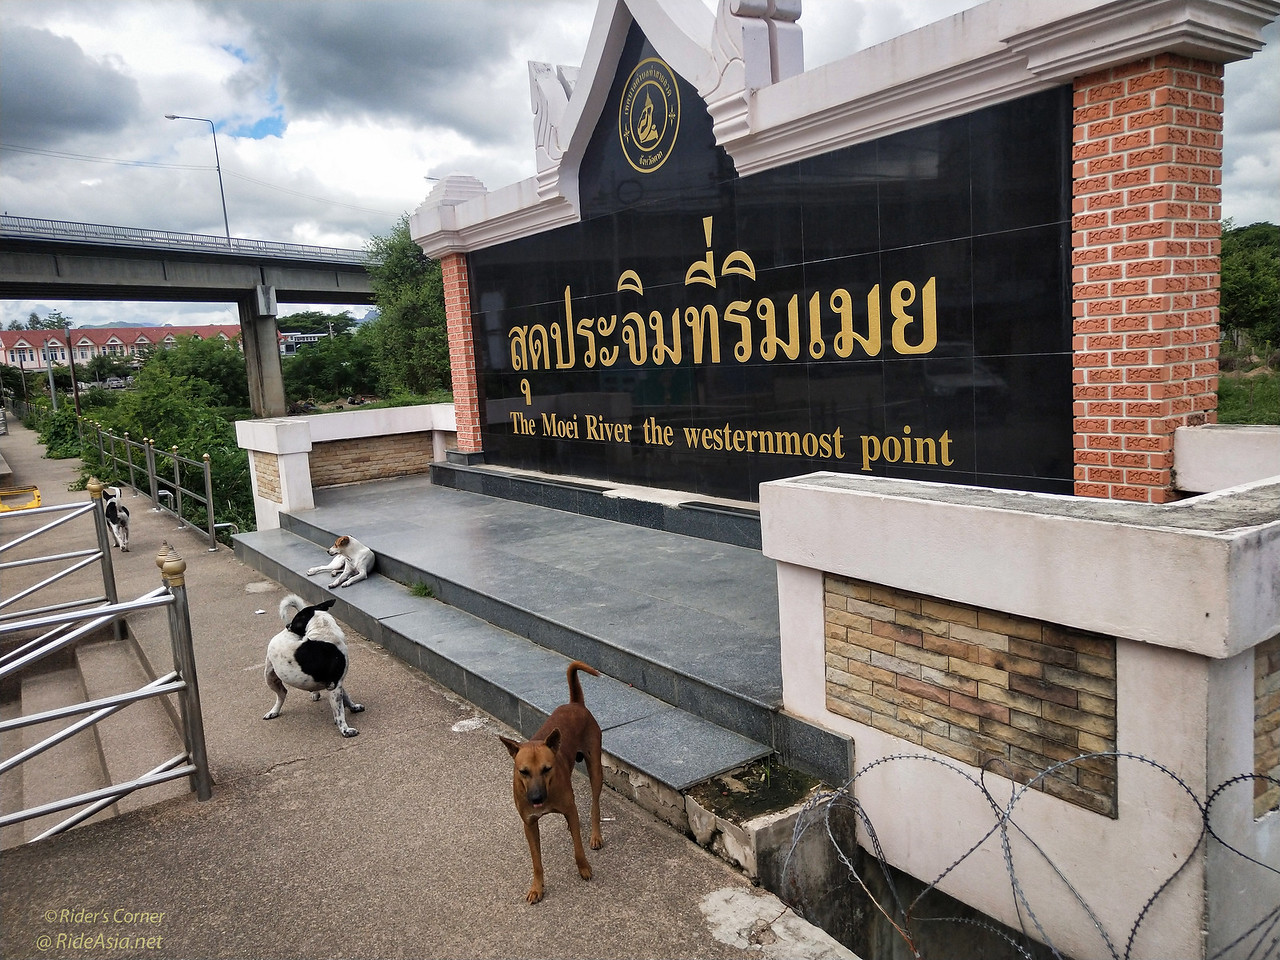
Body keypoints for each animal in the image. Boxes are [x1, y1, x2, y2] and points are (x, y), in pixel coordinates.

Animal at [262, 594, 364, 737]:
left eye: (294, 621)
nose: (287, 625)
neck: (323, 631)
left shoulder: (336, 683)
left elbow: (346, 696)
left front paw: (353, 707)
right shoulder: (335, 684)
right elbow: (339, 712)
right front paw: (345, 730)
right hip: (270, 677)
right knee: (282, 694)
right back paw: (274, 711)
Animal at [499, 661, 604, 904]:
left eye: (547, 769)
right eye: (523, 772)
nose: (537, 797)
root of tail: (575, 704)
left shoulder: (569, 807)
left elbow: (578, 847)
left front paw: (584, 868)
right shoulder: (529, 823)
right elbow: (536, 861)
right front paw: (537, 887)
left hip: (595, 767)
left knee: (594, 805)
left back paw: (595, 835)